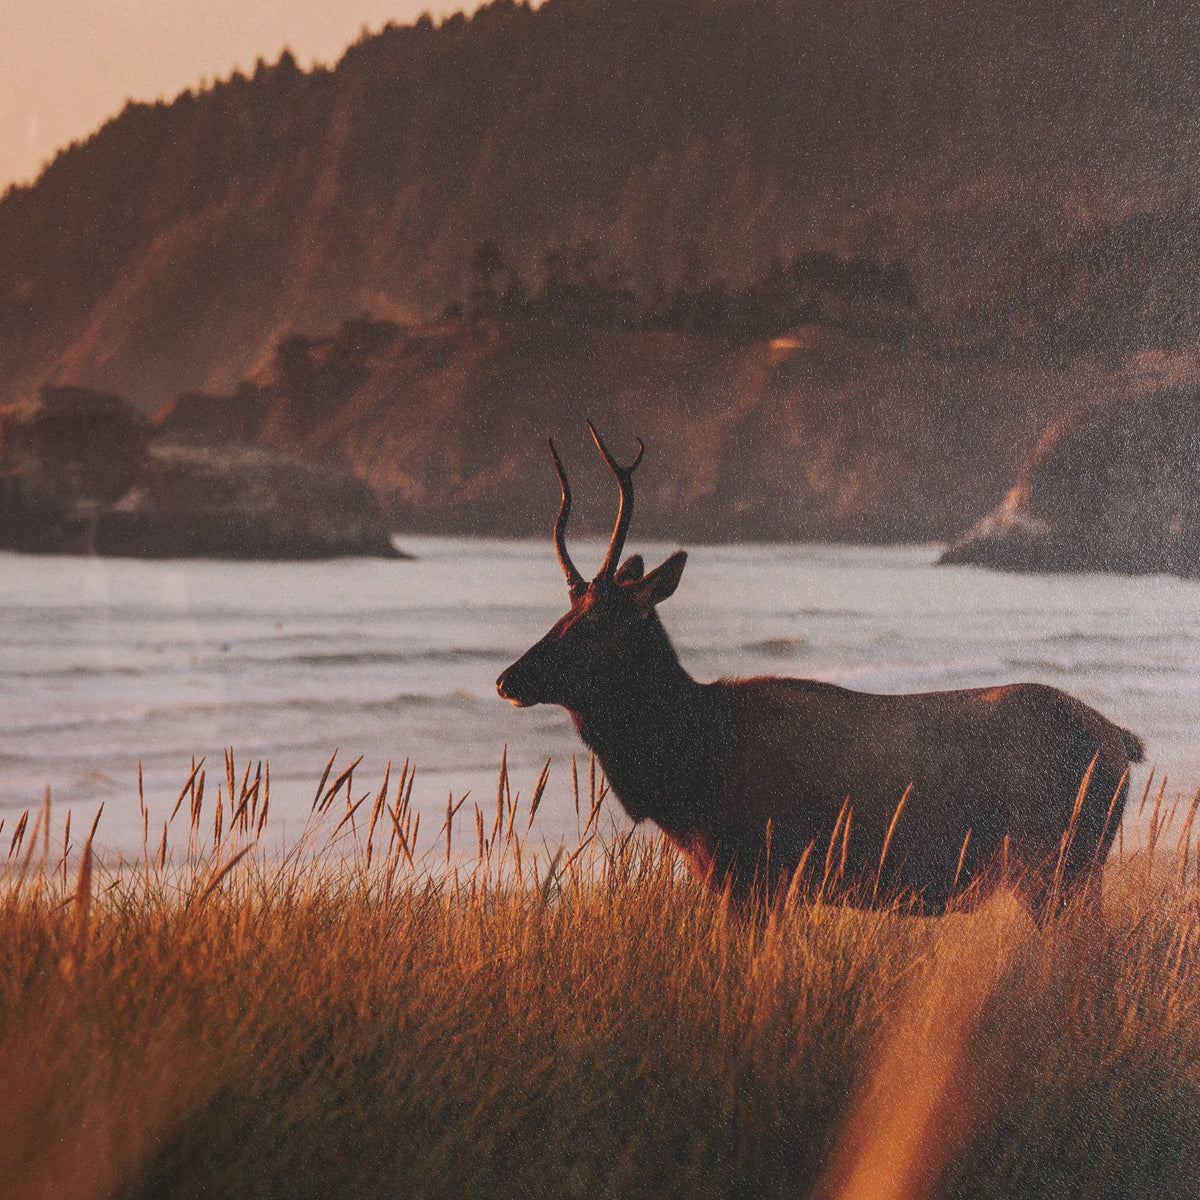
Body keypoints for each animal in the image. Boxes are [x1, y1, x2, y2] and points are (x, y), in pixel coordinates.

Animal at [496, 424, 1146, 917]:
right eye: (563, 613)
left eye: (594, 625)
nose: (507, 680)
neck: (696, 768)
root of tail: (1123, 742)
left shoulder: (756, 870)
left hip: (1055, 864)